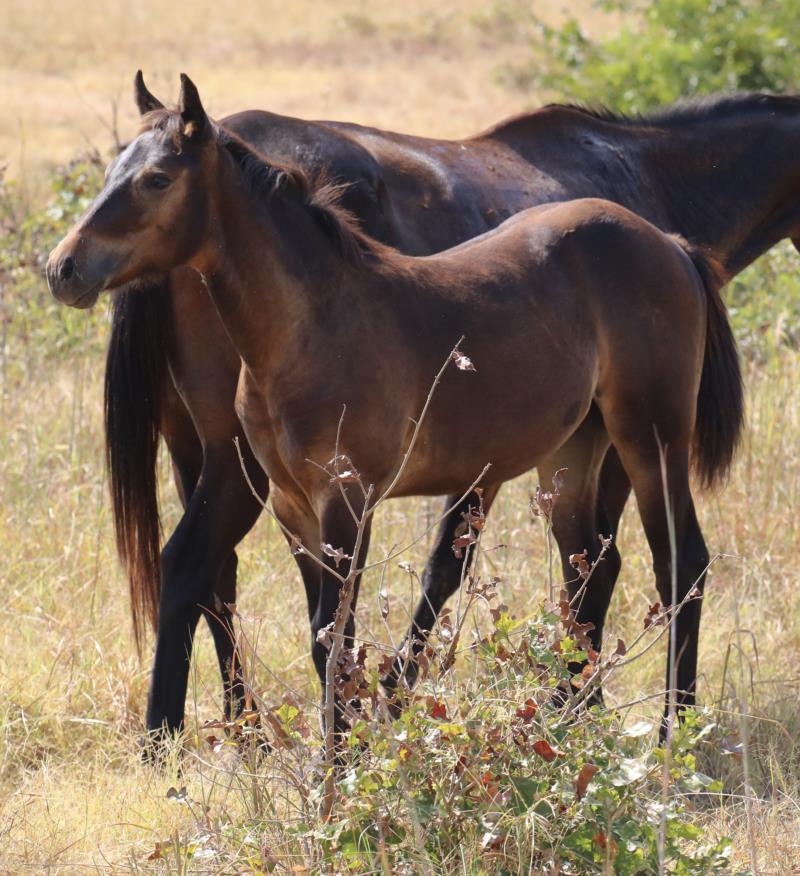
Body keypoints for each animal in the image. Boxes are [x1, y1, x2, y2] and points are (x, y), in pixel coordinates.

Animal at [47, 75, 744, 738]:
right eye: (111, 171)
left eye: (158, 178)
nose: (62, 269)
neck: (311, 325)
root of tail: (670, 243)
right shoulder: (293, 506)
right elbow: (325, 640)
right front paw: (350, 750)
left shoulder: (348, 500)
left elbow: (339, 642)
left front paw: (342, 765)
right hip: (575, 450)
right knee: (589, 567)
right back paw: (570, 722)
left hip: (652, 435)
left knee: (681, 564)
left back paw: (672, 735)